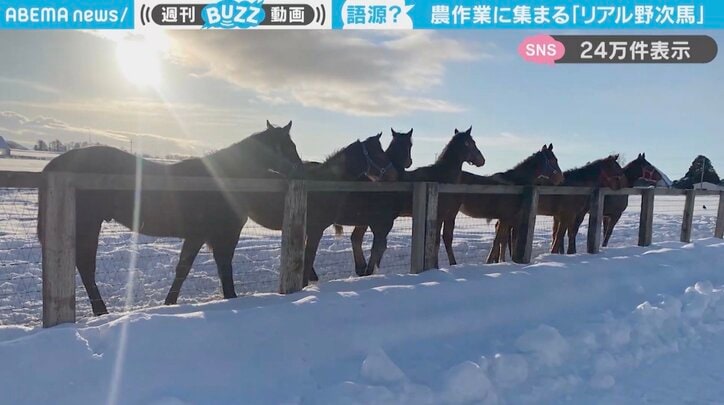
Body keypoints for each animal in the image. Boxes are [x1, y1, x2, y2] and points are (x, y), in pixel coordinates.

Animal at [38, 121, 304, 315]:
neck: (224, 179)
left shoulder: (199, 236)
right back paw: (101, 311)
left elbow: (187, 270)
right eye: (289, 146)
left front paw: (170, 303)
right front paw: (230, 299)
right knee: (86, 267)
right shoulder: (219, 237)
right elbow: (218, 271)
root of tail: (57, 164)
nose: (302, 170)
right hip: (88, 226)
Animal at [329, 127, 486, 278]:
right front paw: (442, 265)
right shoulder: (444, 216)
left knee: (358, 239)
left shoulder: (446, 216)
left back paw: (363, 269)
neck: (442, 178)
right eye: (471, 143)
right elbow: (439, 241)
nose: (482, 160)